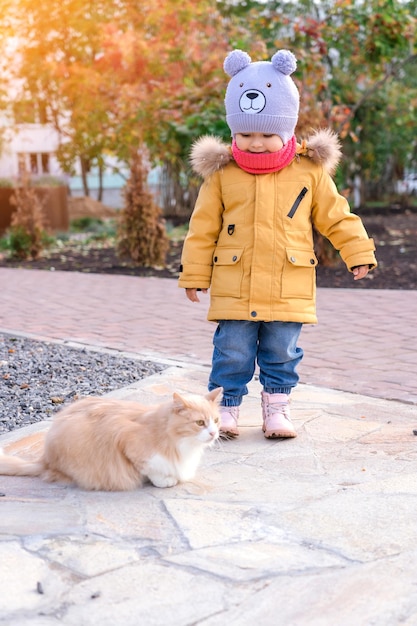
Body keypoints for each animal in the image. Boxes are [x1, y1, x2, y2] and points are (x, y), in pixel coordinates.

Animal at [0, 388, 221, 490]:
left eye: (217, 421)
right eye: (200, 423)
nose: (213, 433)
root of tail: (44, 459)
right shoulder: (128, 441)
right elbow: (151, 468)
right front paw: (164, 480)